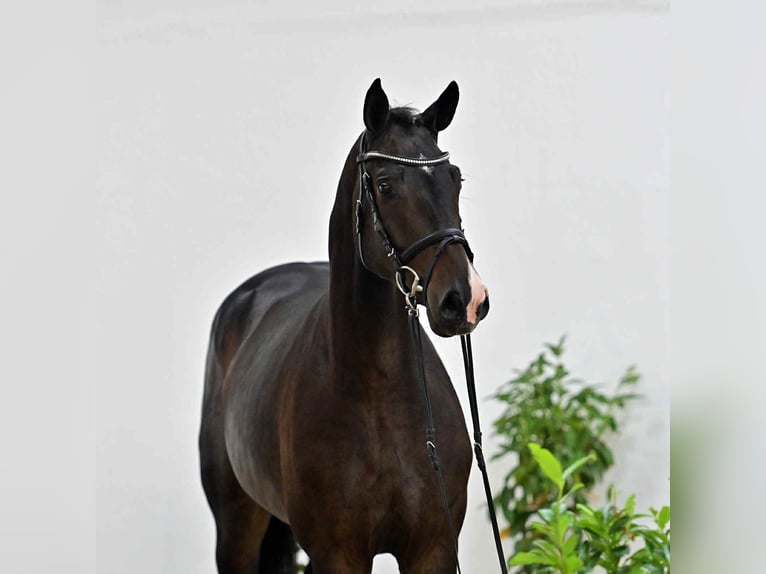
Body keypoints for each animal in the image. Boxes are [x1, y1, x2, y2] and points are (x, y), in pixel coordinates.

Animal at [199, 78, 490, 574]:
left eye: (456, 178)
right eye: (386, 185)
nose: (465, 299)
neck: (380, 399)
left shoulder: (433, 547)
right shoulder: (339, 553)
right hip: (236, 528)